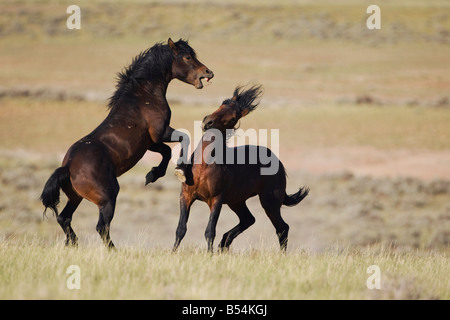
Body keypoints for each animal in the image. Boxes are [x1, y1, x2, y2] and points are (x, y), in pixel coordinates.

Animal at [40, 38, 213, 249]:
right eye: (187, 57)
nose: (208, 73)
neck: (144, 95)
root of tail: (68, 167)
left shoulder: (150, 142)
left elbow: (165, 152)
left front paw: (152, 175)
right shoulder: (160, 132)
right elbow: (183, 138)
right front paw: (181, 171)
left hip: (76, 197)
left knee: (64, 218)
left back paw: (73, 243)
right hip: (108, 197)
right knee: (101, 226)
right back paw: (112, 250)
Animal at [172, 85, 310, 252]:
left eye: (233, 117)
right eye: (221, 105)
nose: (208, 122)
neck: (203, 167)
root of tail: (279, 163)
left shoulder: (216, 200)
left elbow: (210, 231)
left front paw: (209, 254)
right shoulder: (186, 196)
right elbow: (181, 229)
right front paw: (173, 253)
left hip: (269, 203)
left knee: (282, 228)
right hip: (237, 201)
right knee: (249, 219)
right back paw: (224, 243)